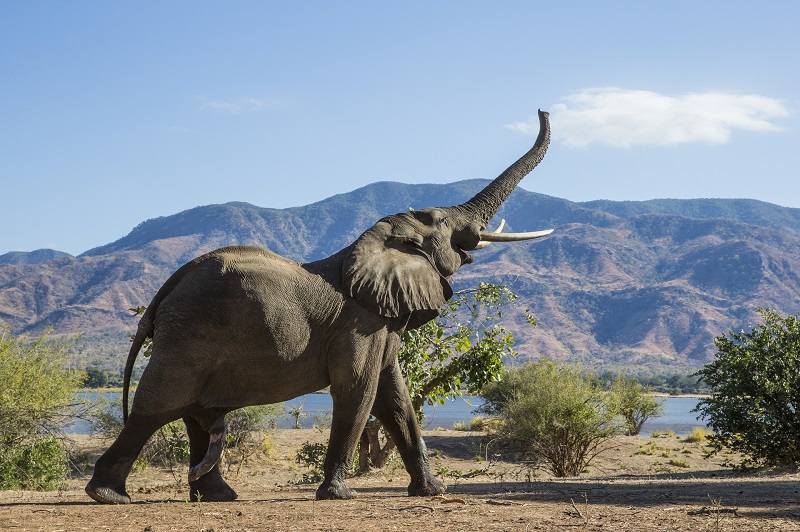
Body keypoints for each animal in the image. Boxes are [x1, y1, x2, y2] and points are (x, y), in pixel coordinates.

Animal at [85, 110, 552, 505]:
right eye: (440, 222)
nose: (544, 110)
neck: (374, 243)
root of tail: (166, 290)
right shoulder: (358, 325)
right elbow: (359, 391)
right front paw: (339, 495)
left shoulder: (380, 323)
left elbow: (396, 399)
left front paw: (431, 492)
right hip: (188, 335)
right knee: (157, 408)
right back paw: (108, 496)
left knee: (193, 415)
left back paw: (218, 497)